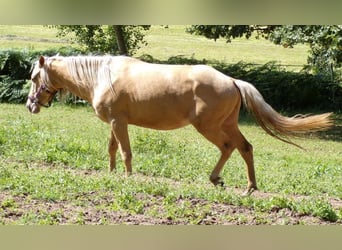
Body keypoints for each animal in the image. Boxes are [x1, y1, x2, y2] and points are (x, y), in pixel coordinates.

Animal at [26, 55, 334, 194]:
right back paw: (243, 185)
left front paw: (127, 177)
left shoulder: (119, 122)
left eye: (34, 77)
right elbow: (112, 149)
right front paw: (112, 174)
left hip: (209, 127)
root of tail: (232, 81)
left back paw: (228, 182)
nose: (31, 105)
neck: (102, 75)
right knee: (243, 147)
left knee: (231, 147)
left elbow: (125, 152)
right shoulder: (115, 123)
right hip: (227, 124)